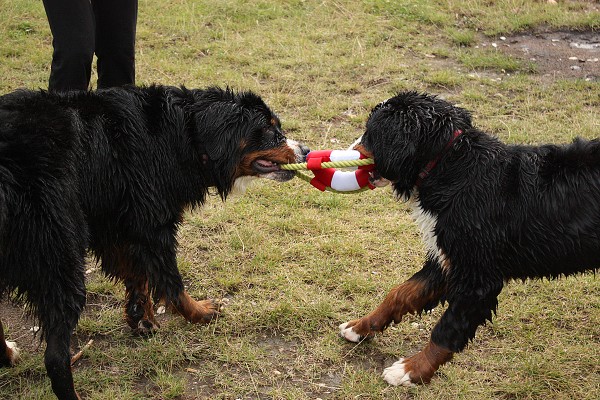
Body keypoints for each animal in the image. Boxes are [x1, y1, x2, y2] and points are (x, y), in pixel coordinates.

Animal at [0, 86, 310, 398]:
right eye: (271, 131)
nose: (305, 150)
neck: (183, 133)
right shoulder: (154, 224)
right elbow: (172, 283)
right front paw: (199, 312)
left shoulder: (119, 223)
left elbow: (139, 276)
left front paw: (141, 317)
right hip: (60, 260)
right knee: (55, 356)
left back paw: (6, 354)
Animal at [340, 91, 596, 388]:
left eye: (371, 133)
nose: (349, 150)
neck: (452, 167)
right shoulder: (446, 259)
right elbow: (400, 294)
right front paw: (360, 327)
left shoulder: (477, 278)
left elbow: (446, 331)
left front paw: (411, 370)